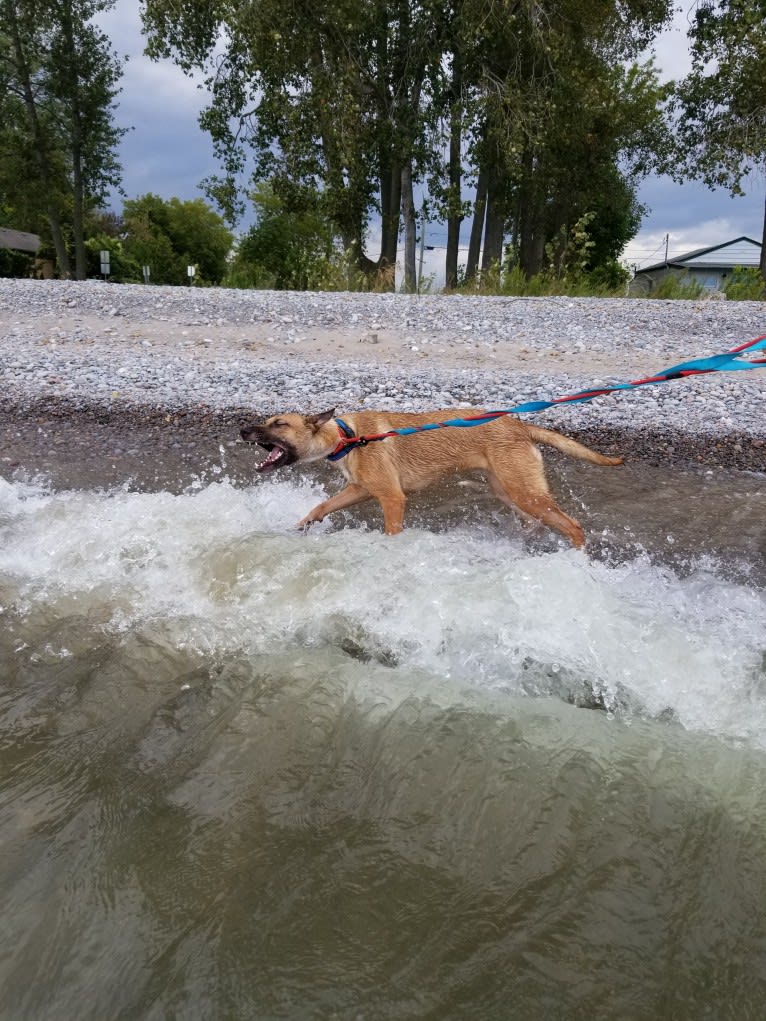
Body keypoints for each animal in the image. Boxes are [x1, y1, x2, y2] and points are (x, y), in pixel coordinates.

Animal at [240, 408, 625, 551]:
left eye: (279, 424)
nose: (242, 430)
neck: (348, 436)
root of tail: (519, 425)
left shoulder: (392, 499)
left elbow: (392, 532)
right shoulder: (361, 489)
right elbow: (322, 505)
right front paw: (303, 524)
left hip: (524, 492)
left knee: (573, 526)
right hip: (512, 492)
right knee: (538, 523)